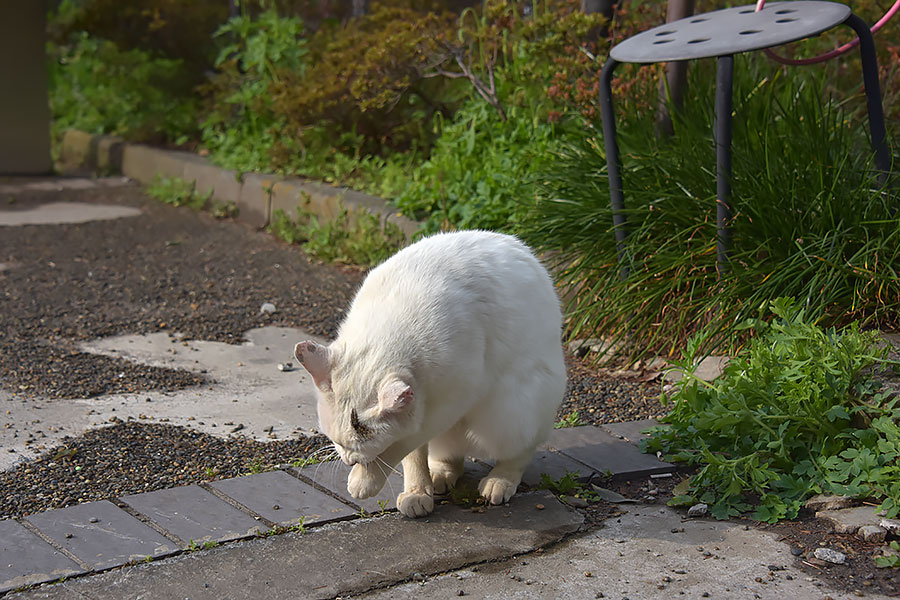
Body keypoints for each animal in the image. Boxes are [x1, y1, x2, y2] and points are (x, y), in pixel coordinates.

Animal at [296, 230, 564, 516]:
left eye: (358, 448)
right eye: (337, 442)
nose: (348, 460)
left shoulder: (448, 406)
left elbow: (401, 444)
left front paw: (364, 480)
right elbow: (412, 454)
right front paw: (416, 491)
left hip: (513, 411)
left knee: (522, 448)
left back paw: (500, 481)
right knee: (450, 453)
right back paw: (439, 476)